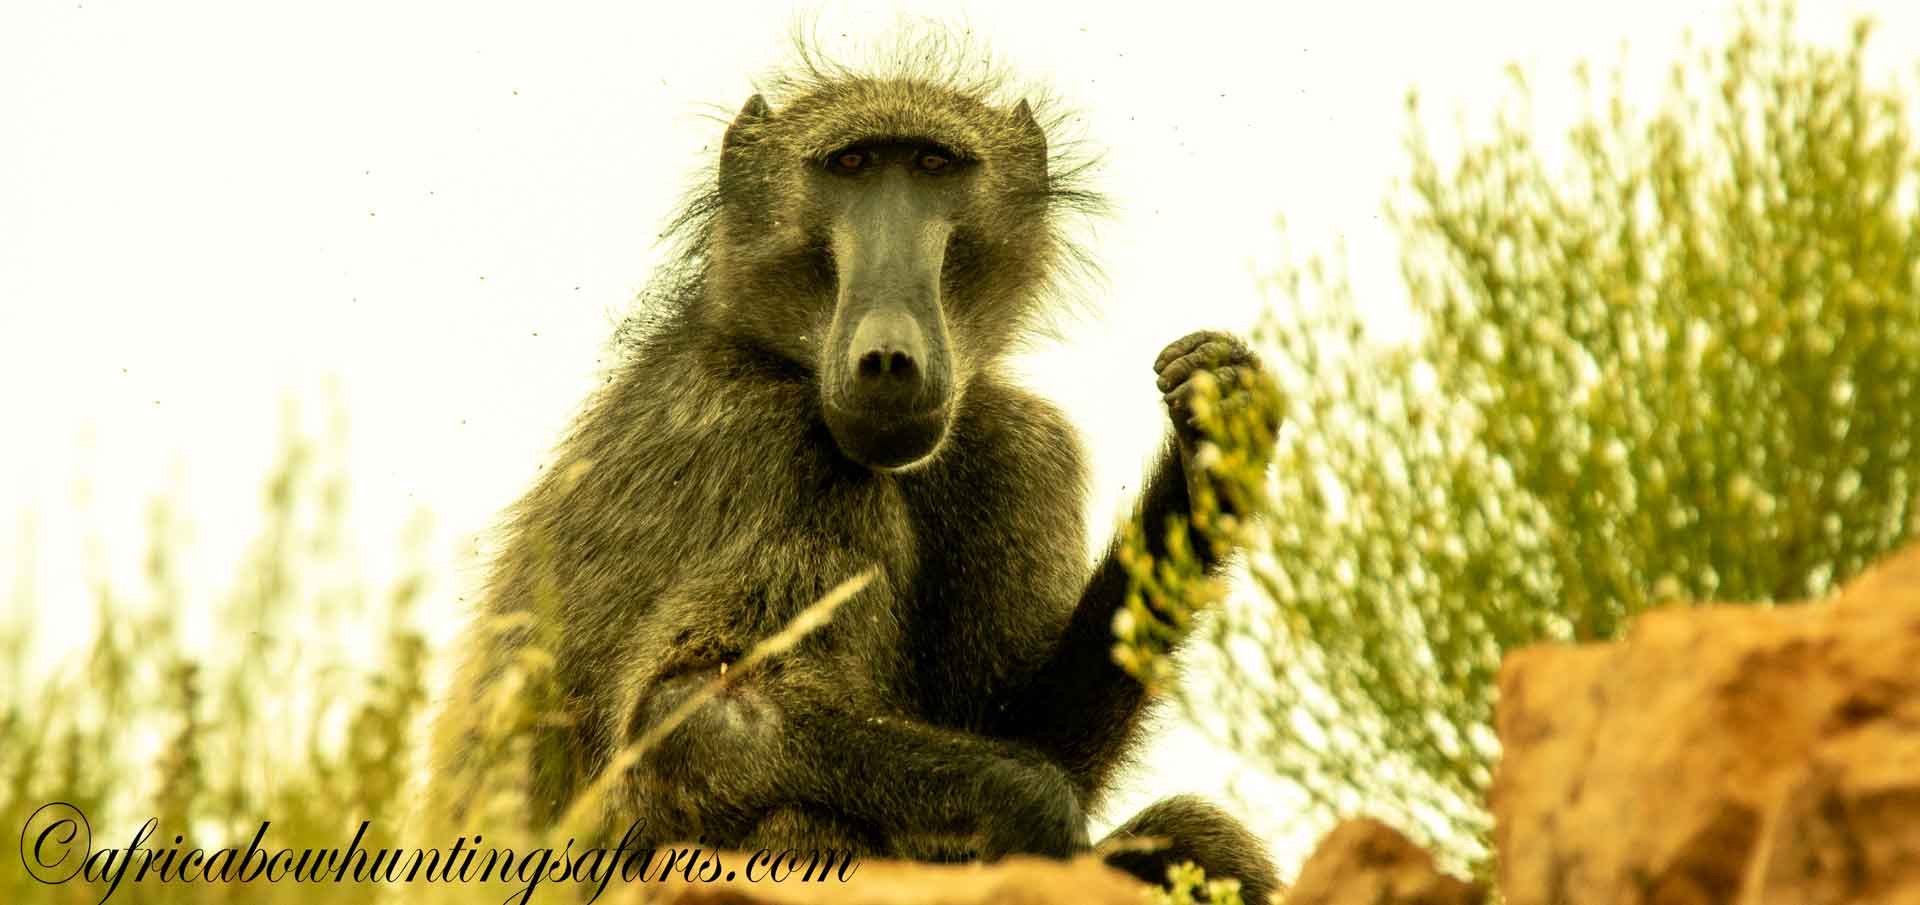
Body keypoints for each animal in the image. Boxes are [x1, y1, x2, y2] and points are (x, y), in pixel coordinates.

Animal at [434, 40, 1280, 903]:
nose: (887, 358)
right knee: (796, 821)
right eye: (850, 164)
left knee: (1204, 838)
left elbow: (1031, 730)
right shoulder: (768, 443)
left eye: (934, 165)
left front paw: (1216, 434)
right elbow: (687, 708)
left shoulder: (1024, 447)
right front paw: (1036, 806)